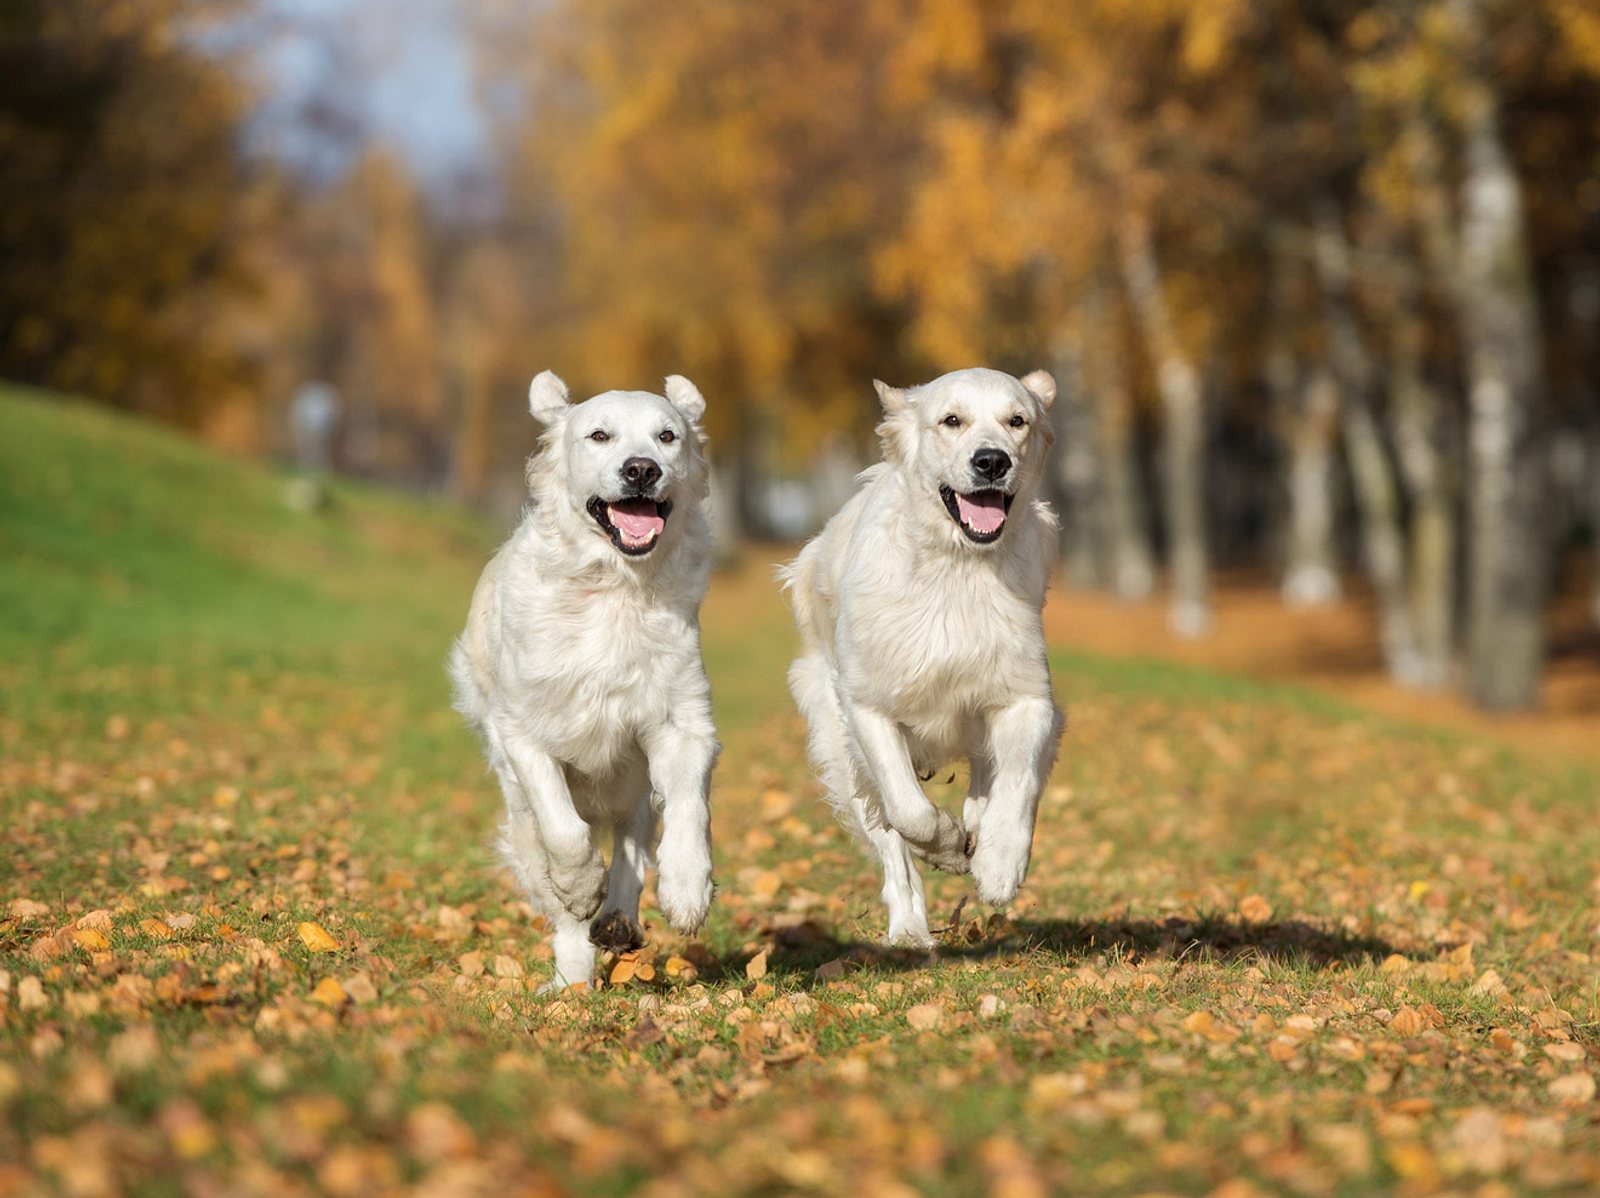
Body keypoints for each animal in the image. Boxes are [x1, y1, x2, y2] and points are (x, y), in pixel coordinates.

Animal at [454, 371, 723, 991]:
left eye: (668, 436)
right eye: (599, 435)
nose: (642, 469)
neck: (615, 585)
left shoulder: (681, 721)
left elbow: (688, 809)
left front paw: (688, 889)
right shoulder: (522, 732)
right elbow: (564, 828)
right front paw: (580, 888)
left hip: (635, 788)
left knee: (633, 839)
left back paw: (619, 919)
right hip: (518, 817)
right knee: (559, 890)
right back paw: (573, 979)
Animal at [784, 364, 1062, 946]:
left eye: (1017, 421)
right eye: (951, 420)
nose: (992, 461)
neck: (958, 567)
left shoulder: (1028, 697)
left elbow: (1018, 781)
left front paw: (999, 863)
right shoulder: (865, 706)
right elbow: (909, 811)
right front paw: (950, 849)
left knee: (986, 772)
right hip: (841, 752)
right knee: (891, 840)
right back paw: (911, 929)